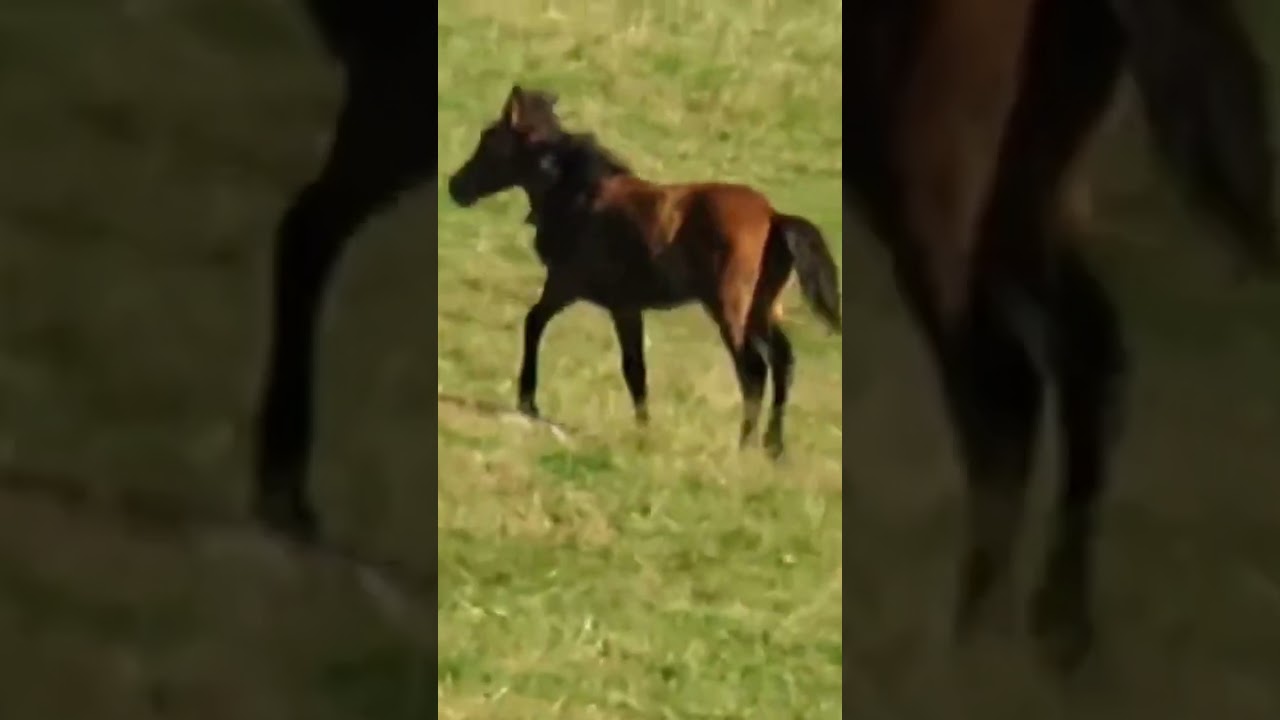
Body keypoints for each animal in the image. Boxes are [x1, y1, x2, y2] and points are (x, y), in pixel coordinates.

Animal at [446, 86, 842, 458]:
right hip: (763, 310)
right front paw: (644, 428)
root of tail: (774, 217)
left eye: (489, 139)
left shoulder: (572, 287)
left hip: (731, 310)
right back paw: (774, 448)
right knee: (783, 362)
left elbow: (538, 324)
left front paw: (528, 401)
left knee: (754, 371)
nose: (455, 187)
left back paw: (744, 446)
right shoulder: (624, 305)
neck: (579, 193)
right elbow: (636, 368)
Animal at [846, 0, 1276, 671]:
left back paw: (973, 641)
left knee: (1004, 390)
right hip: (1026, 199)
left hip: (936, 188)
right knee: (1087, 357)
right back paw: (1057, 625)